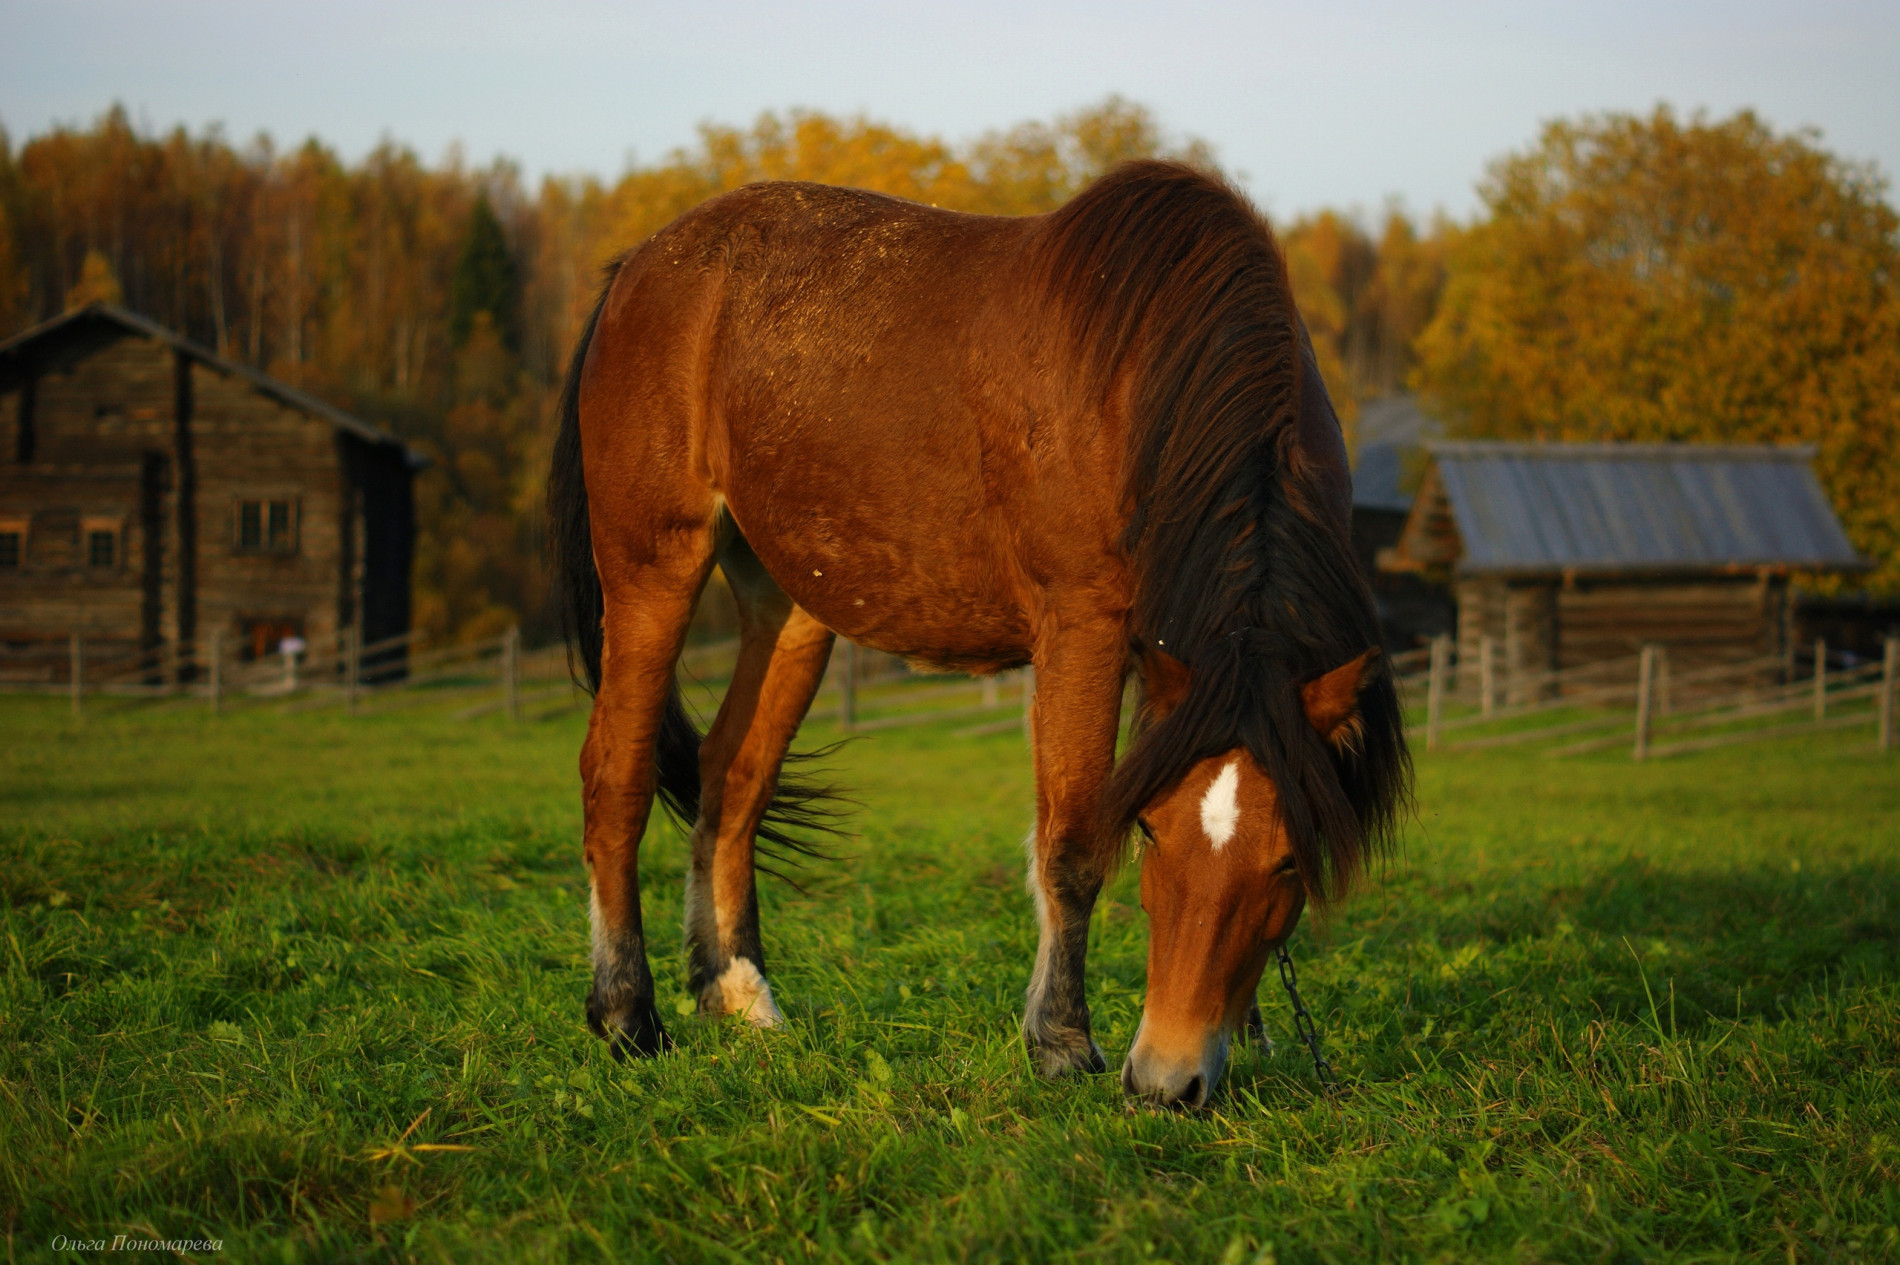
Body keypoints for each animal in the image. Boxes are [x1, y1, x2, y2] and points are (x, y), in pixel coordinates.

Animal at [551, 160, 1413, 1101]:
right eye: (1150, 831)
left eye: (1291, 859)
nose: (1167, 1078)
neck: (1149, 384)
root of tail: (640, 266)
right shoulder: (1082, 629)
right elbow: (1071, 842)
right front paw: (1062, 1041)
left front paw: (1248, 1031)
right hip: (654, 570)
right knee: (615, 776)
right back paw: (627, 1014)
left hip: (788, 610)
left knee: (732, 776)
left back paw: (739, 995)